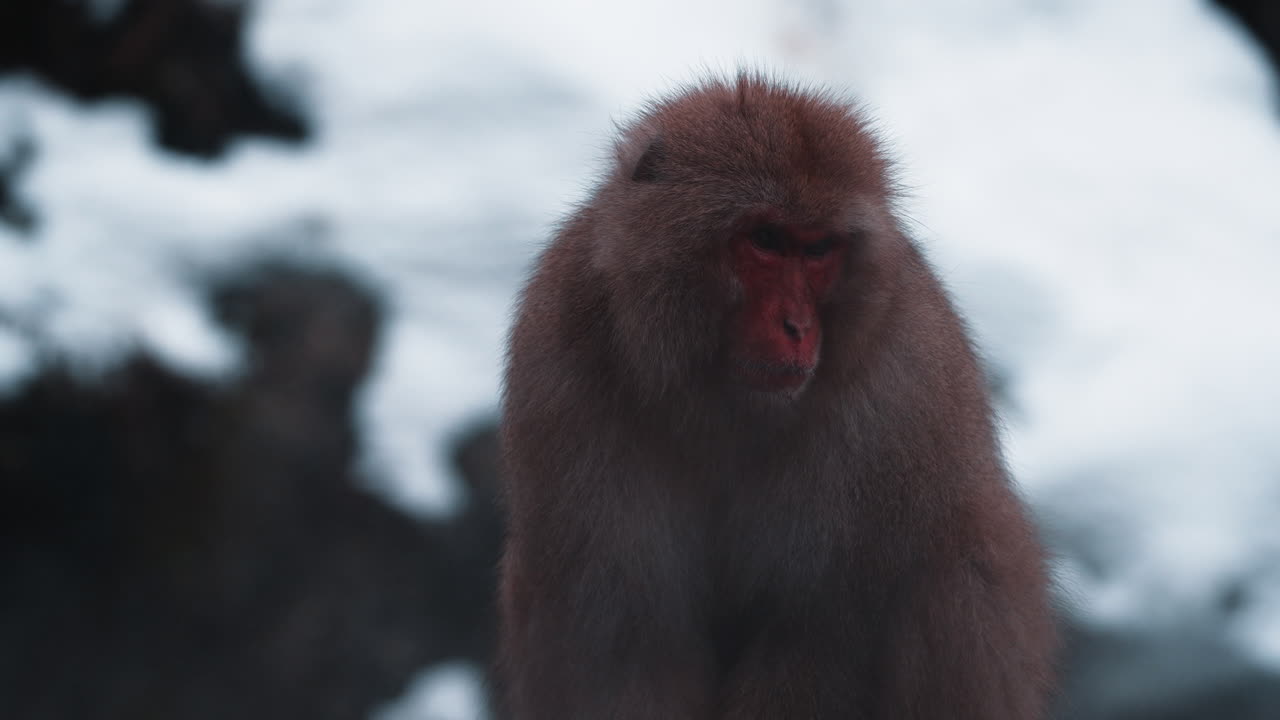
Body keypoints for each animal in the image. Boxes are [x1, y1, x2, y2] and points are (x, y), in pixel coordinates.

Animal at [496, 72, 1056, 719]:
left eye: (818, 251)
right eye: (765, 239)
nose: (798, 326)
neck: (723, 404)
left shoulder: (896, 400)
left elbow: (820, 632)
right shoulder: (566, 365)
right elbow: (630, 636)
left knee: (954, 568)